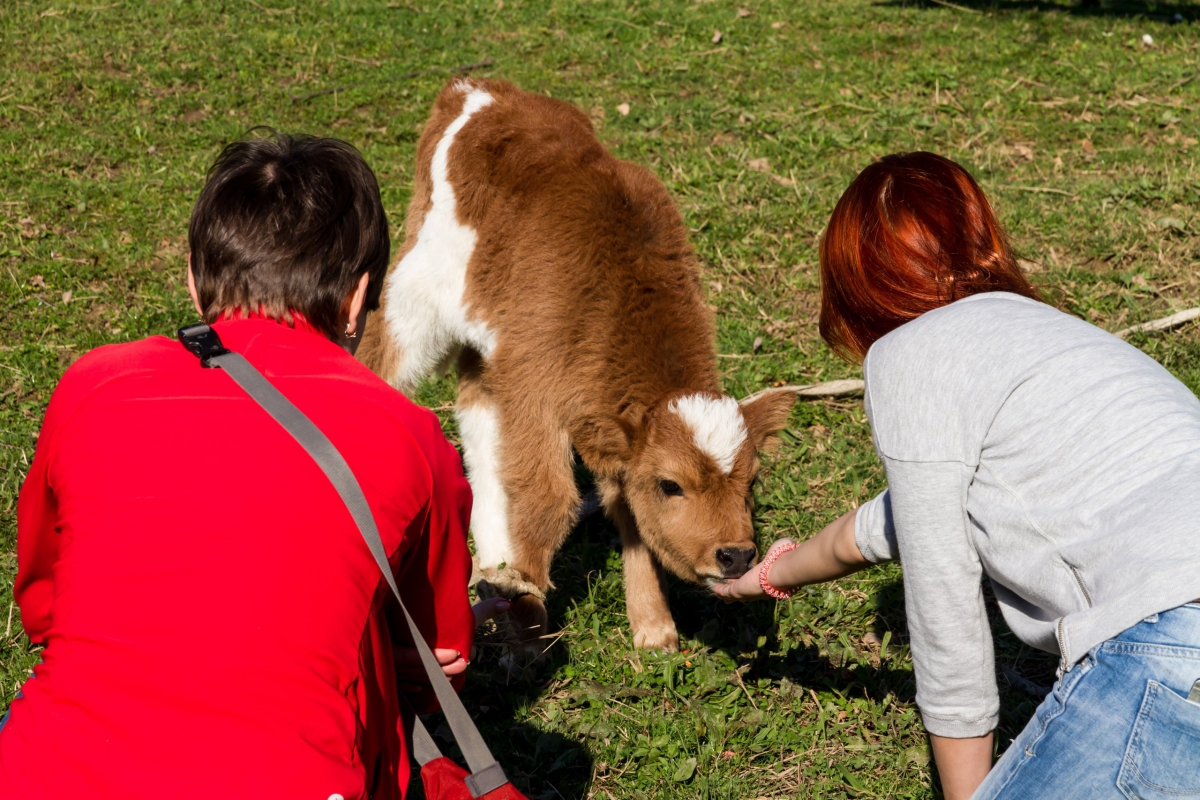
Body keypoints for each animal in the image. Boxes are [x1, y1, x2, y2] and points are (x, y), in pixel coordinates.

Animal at [355, 77, 796, 652]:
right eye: (670, 485)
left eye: (753, 481)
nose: (737, 554)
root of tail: (478, 89)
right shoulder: (533, 388)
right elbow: (548, 494)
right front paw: (530, 600)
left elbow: (621, 504)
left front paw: (651, 625)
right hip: (417, 292)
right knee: (379, 359)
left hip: (487, 348)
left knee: (477, 419)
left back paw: (499, 571)